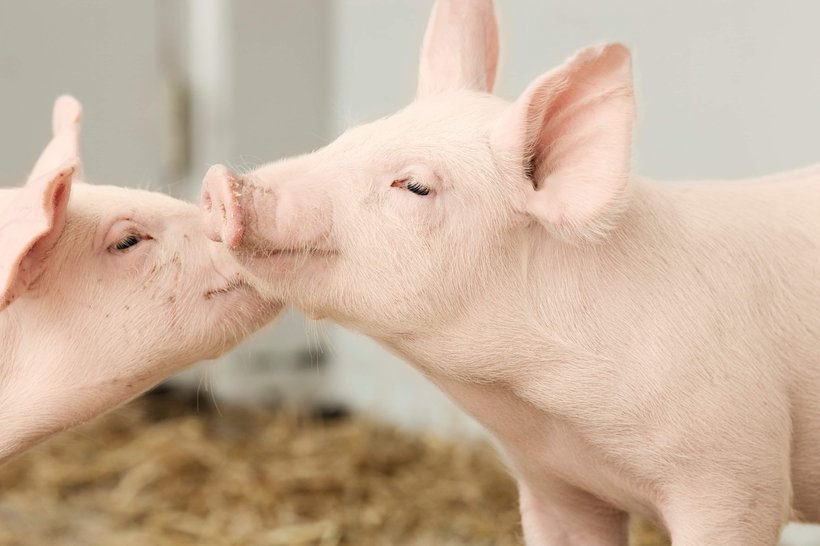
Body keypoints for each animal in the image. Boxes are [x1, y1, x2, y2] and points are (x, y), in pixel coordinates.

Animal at [200, 0, 820, 544]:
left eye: (415, 185)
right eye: (348, 138)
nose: (220, 183)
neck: (549, 408)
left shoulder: (738, 476)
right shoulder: (556, 485)